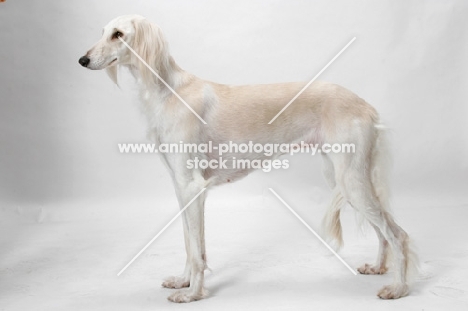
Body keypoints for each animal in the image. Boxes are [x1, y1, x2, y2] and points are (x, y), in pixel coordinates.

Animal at [78, 15, 414, 304]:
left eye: (118, 34)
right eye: (102, 31)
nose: (82, 60)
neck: (169, 90)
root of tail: (366, 105)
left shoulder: (191, 187)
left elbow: (196, 250)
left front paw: (193, 294)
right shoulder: (182, 188)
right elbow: (190, 244)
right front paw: (184, 282)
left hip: (350, 179)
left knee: (398, 234)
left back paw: (398, 288)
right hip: (344, 177)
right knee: (385, 230)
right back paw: (379, 268)